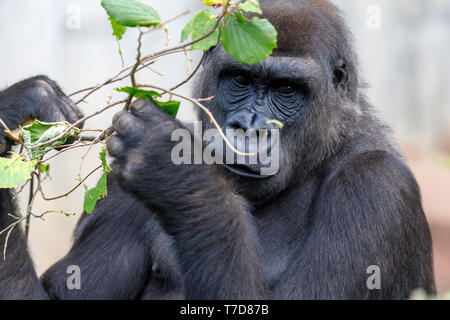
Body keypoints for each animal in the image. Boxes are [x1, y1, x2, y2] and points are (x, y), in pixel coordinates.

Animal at [0, 0, 436, 300]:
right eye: (240, 79)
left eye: (287, 89)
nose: (249, 129)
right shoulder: (118, 195)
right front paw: (18, 106)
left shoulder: (375, 187)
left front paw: (178, 176)